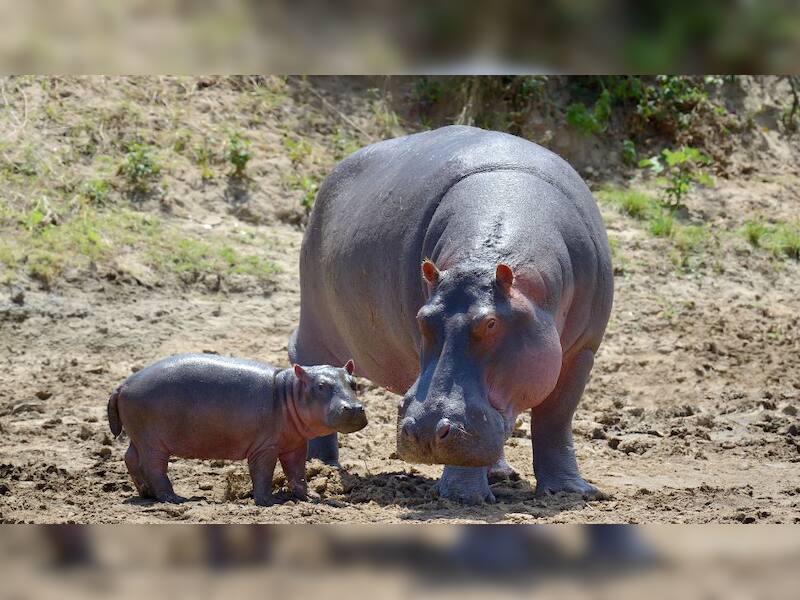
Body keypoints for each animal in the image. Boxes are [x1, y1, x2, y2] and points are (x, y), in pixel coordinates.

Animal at [107, 353, 366, 505]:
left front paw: (311, 496)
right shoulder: (265, 447)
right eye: (321, 386)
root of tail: (123, 385)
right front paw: (267, 502)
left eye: (354, 383)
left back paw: (146, 494)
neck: (289, 391)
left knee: (130, 458)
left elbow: (297, 473)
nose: (354, 408)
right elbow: (263, 473)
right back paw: (174, 498)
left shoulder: (296, 444)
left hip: (138, 436)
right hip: (153, 442)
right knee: (153, 467)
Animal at [290, 125, 613, 504]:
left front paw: (572, 491)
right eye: (422, 318)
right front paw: (463, 497)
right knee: (311, 365)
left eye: (491, 323)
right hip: (315, 325)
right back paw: (322, 467)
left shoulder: (582, 352)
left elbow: (556, 419)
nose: (426, 431)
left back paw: (500, 473)